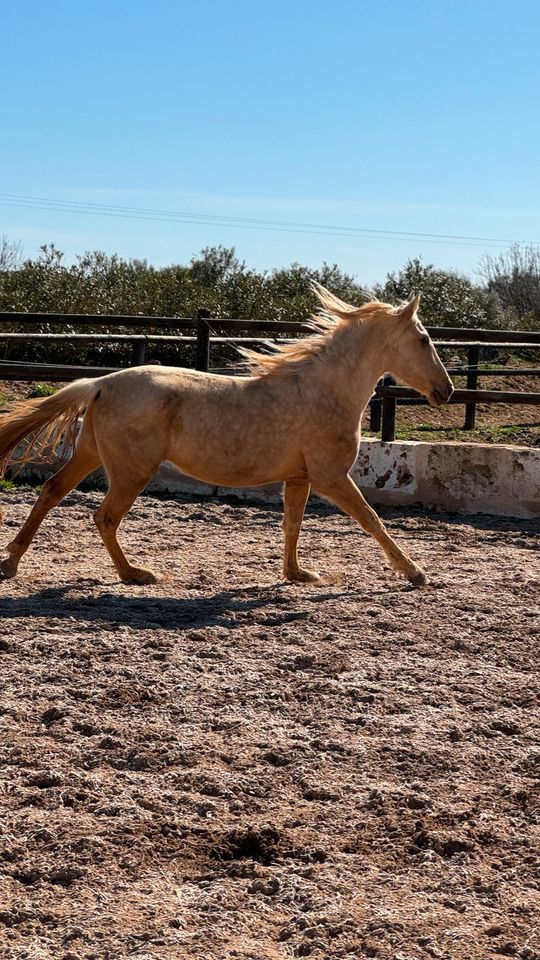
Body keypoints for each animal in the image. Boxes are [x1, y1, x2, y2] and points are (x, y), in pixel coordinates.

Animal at [0, 282, 454, 588]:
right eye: (424, 339)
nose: (446, 390)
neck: (324, 391)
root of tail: (100, 383)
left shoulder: (300, 477)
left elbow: (292, 524)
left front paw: (297, 574)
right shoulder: (331, 477)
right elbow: (372, 520)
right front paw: (415, 572)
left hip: (91, 455)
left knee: (52, 492)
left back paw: (11, 562)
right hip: (131, 470)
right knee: (104, 516)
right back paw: (135, 574)